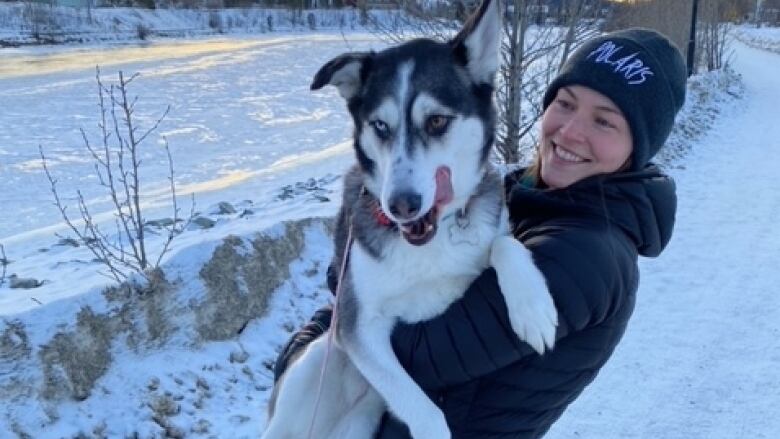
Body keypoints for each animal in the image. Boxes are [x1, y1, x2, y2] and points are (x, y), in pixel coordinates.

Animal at [266, 1, 556, 438]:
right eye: (380, 126)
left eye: (436, 121)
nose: (401, 204)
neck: (428, 247)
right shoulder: (356, 326)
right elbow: (424, 411)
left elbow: (506, 242)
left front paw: (532, 307)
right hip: (319, 359)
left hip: (361, 416)